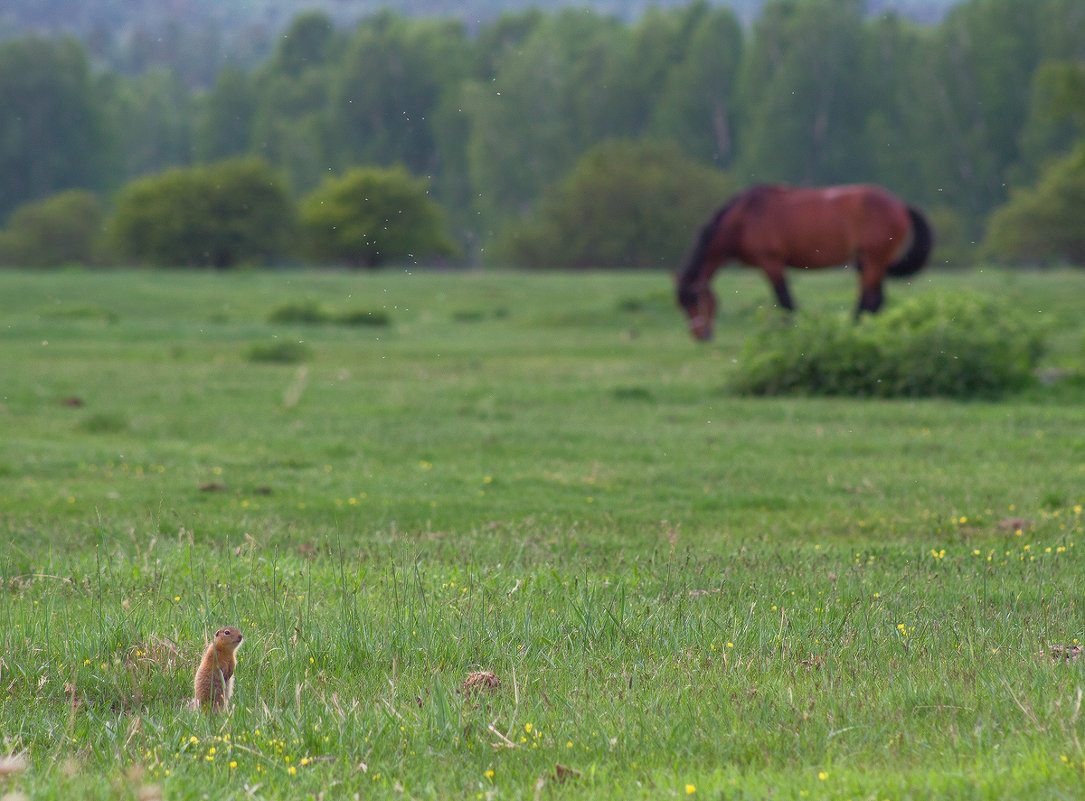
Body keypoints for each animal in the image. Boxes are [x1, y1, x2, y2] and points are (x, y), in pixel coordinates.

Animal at [668, 182, 933, 338]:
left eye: (694, 300)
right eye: (681, 305)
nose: (701, 336)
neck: (744, 218)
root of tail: (900, 204)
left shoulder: (771, 264)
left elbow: (785, 301)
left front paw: (792, 331)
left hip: (873, 260)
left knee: (870, 299)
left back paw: (854, 327)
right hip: (867, 262)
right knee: (875, 299)